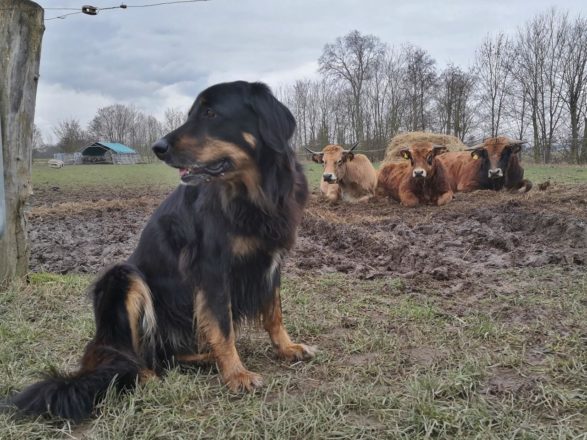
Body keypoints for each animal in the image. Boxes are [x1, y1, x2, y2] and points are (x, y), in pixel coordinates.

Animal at [5, 81, 316, 422]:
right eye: (193, 113)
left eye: (211, 113)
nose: (158, 147)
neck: (254, 193)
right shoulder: (212, 269)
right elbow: (224, 327)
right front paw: (236, 374)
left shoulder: (272, 261)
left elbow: (274, 313)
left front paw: (286, 348)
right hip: (122, 277)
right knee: (130, 356)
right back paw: (145, 375)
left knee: (166, 354)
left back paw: (203, 358)